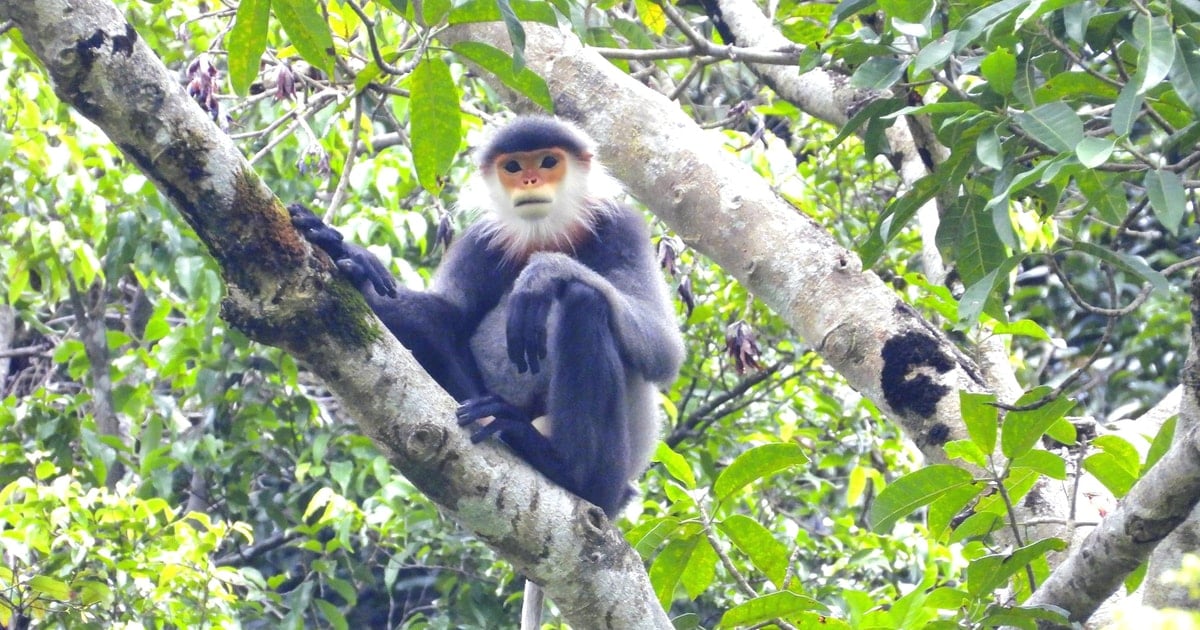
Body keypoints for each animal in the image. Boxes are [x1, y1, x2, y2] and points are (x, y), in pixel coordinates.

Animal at [289, 115, 686, 518]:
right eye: (513, 167)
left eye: (548, 162)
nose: (530, 181)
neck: (545, 233)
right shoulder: (481, 239)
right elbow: (444, 314)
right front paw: (343, 252)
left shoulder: (623, 227)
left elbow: (665, 352)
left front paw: (544, 271)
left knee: (584, 299)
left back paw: (569, 471)